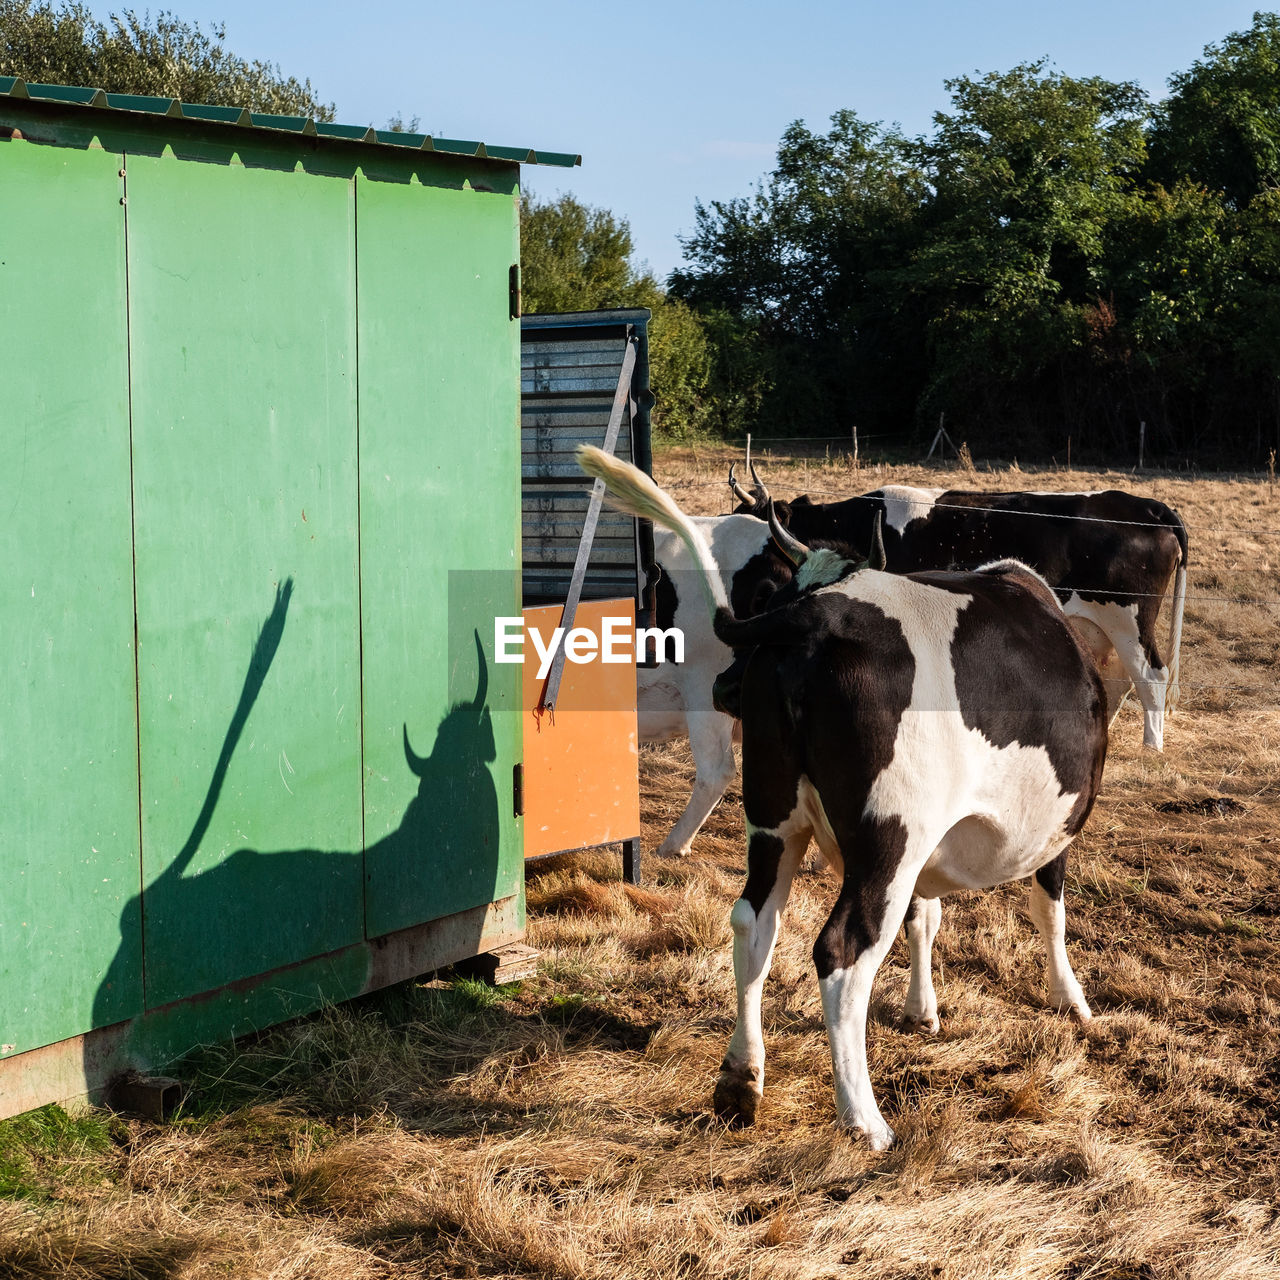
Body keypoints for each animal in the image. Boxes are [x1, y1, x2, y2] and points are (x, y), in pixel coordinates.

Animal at [586, 442, 1105, 1152]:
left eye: (769, 590)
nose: (726, 684)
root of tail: (810, 624)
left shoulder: (925, 849)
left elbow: (924, 917)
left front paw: (922, 1009)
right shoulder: (1036, 832)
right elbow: (1049, 910)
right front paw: (1068, 997)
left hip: (776, 823)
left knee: (752, 924)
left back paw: (741, 1078)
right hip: (886, 841)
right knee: (841, 952)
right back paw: (863, 1118)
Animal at [732, 468, 1187, 747]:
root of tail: (1150, 507)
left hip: (1129, 619)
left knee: (1152, 675)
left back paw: (1152, 747)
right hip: (1105, 627)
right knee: (1121, 679)